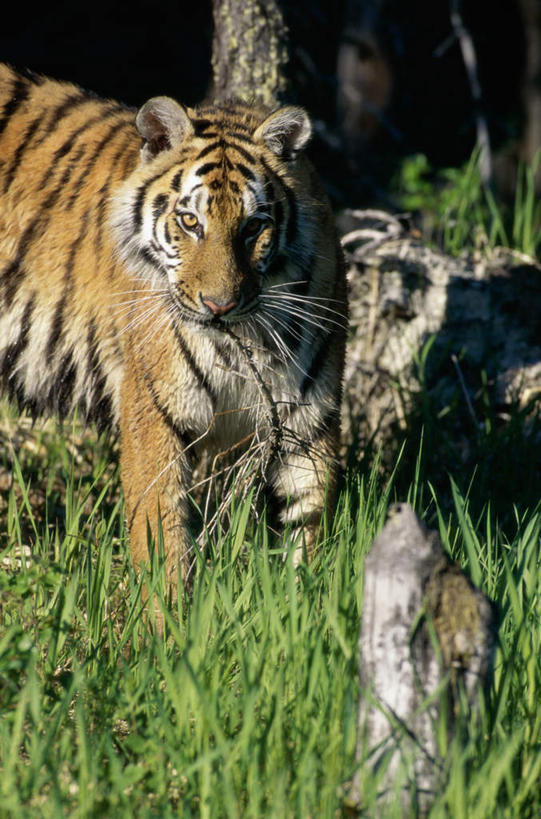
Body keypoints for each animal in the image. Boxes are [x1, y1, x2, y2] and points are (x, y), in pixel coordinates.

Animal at [0, 62, 346, 588]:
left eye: (252, 227)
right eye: (189, 221)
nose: (219, 305)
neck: (243, 342)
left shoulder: (309, 419)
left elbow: (308, 525)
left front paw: (305, 598)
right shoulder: (155, 409)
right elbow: (162, 535)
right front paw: (167, 612)